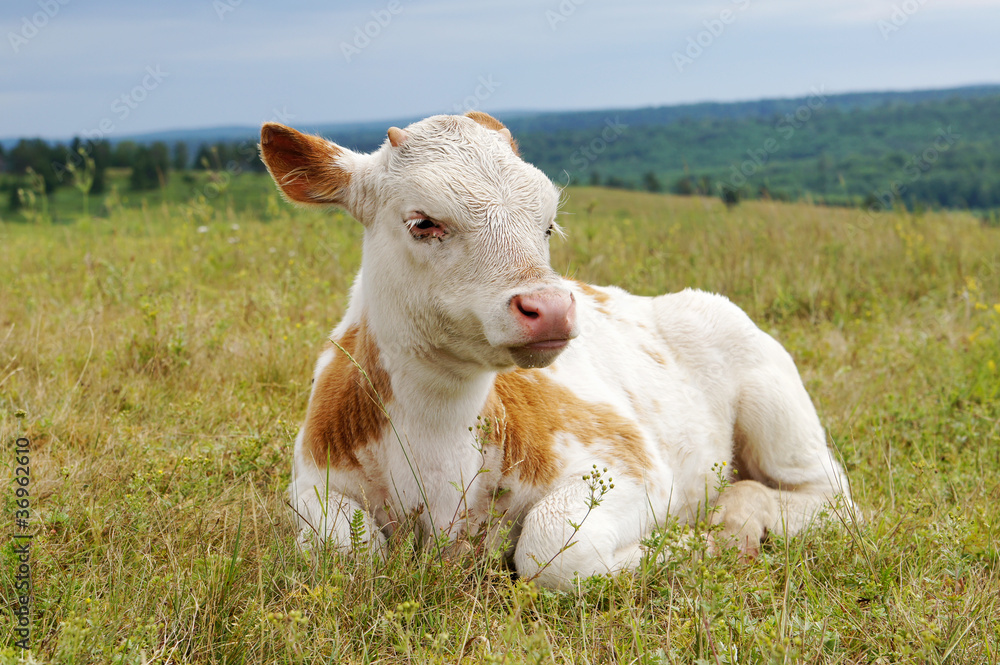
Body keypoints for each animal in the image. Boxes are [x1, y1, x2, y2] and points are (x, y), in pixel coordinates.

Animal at [259, 111, 853, 590]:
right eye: (423, 222)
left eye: (547, 226)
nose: (550, 307)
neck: (436, 440)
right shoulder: (310, 482)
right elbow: (347, 552)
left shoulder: (629, 466)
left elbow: (548, 552)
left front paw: (695, 544)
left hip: (778, 406)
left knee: (832, 500)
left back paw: (739, 512)